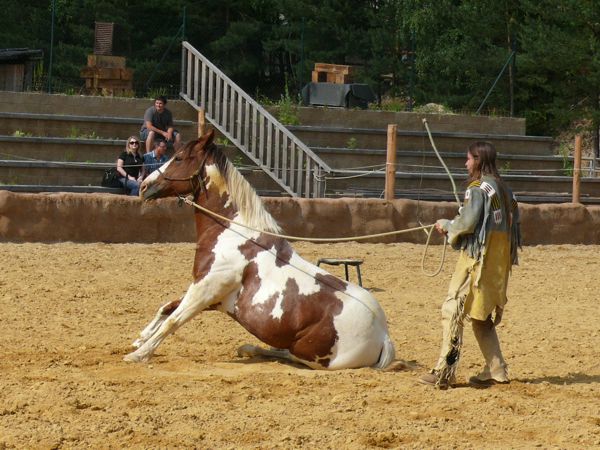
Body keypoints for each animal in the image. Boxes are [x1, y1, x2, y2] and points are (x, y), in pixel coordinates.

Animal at [124, 130, 396, 370]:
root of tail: (383, 335)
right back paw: (248, 349)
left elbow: (173, 320)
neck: (234, 233)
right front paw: (139, 339)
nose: (144, 186)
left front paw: (138, 355)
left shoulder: (208, 288)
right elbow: (167, 308)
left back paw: (251, 349)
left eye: (179, 158)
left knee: (290, 356)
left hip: (310, 355)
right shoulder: (208, 292)